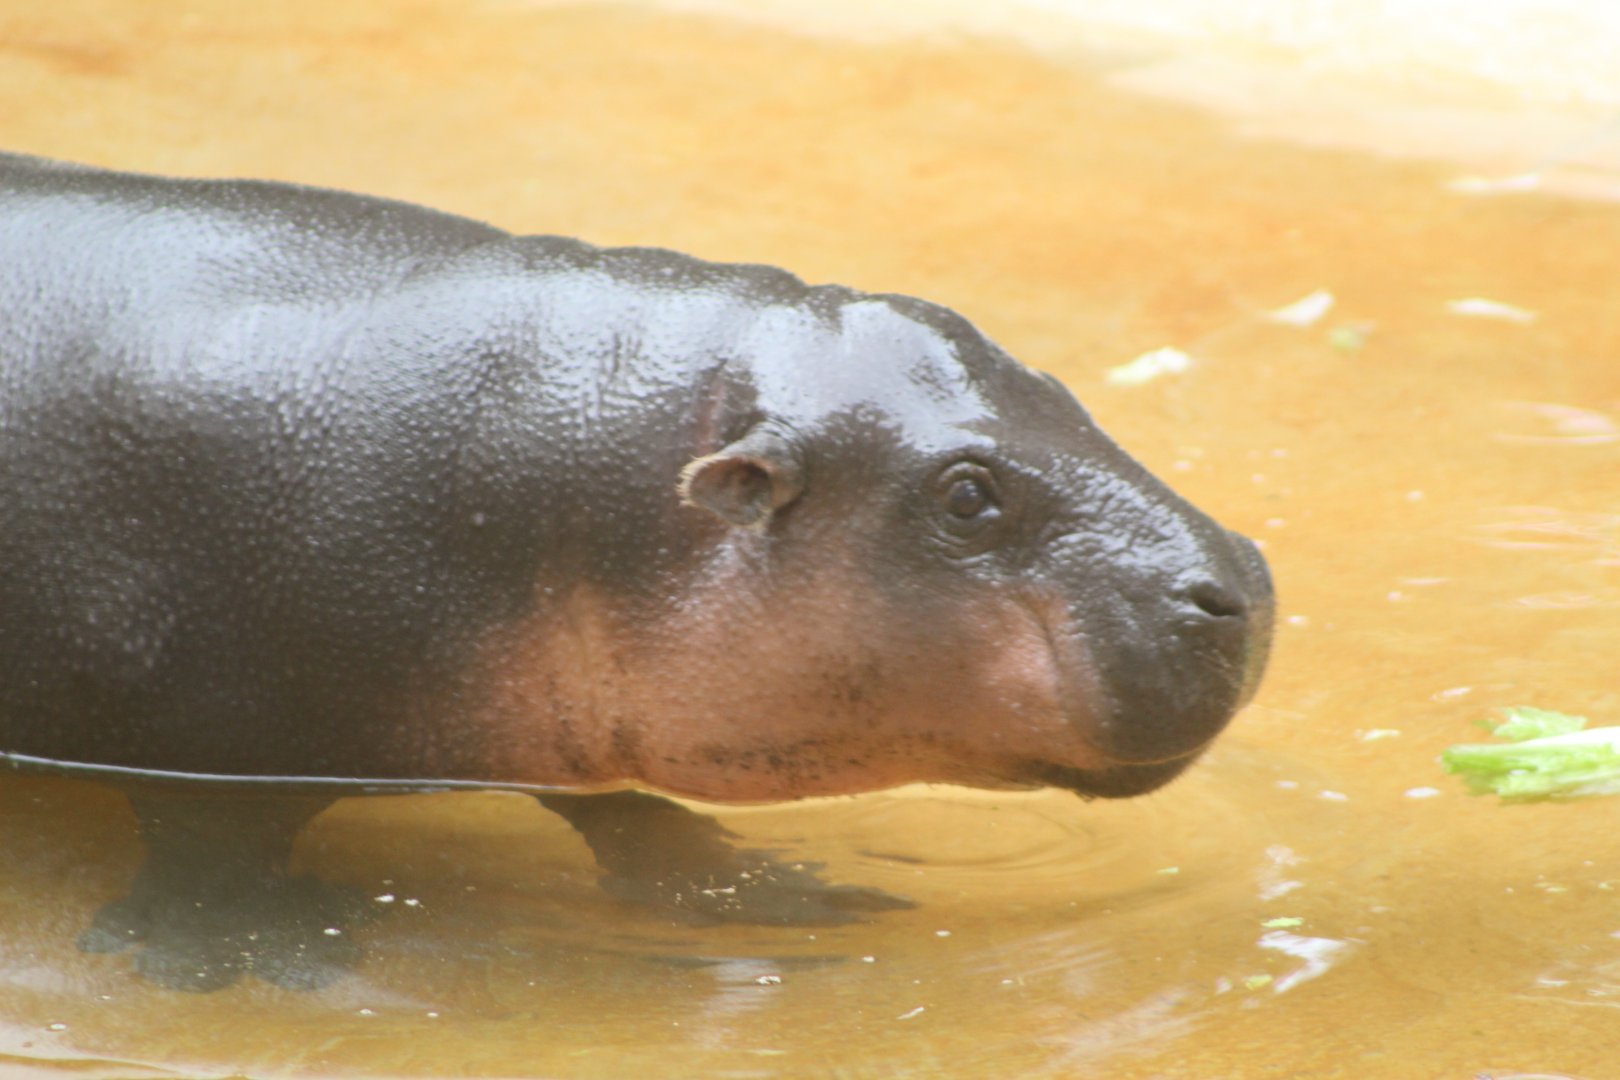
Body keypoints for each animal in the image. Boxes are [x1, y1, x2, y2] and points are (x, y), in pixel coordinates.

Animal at [0, 151, 1272, 991]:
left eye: (1058, 388)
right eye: (966, 495)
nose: (1246, 581)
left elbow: (618, 806)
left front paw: (778, 894)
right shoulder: (201, 742)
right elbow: (212, 854)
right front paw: (250, 962)